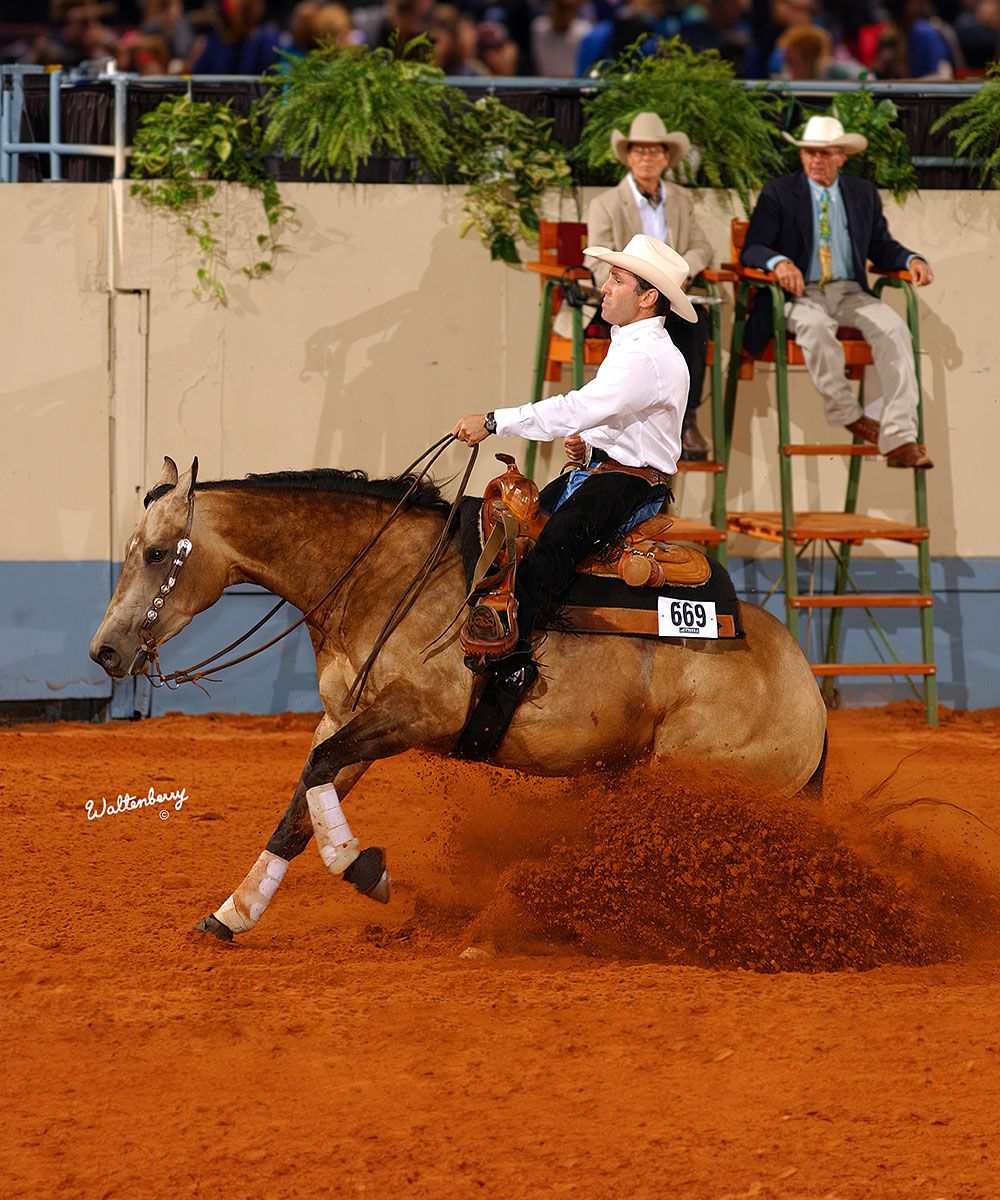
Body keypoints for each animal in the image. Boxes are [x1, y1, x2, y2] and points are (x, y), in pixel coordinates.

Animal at [90, 456, 828, 942]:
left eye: (156, 553)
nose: (104, 652)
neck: (382, 577)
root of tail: (808, 696)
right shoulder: (348, 719)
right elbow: (302, 803)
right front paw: (231, 915)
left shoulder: (419, 715)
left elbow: (317, 777)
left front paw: (363, 868)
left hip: (691, 781)